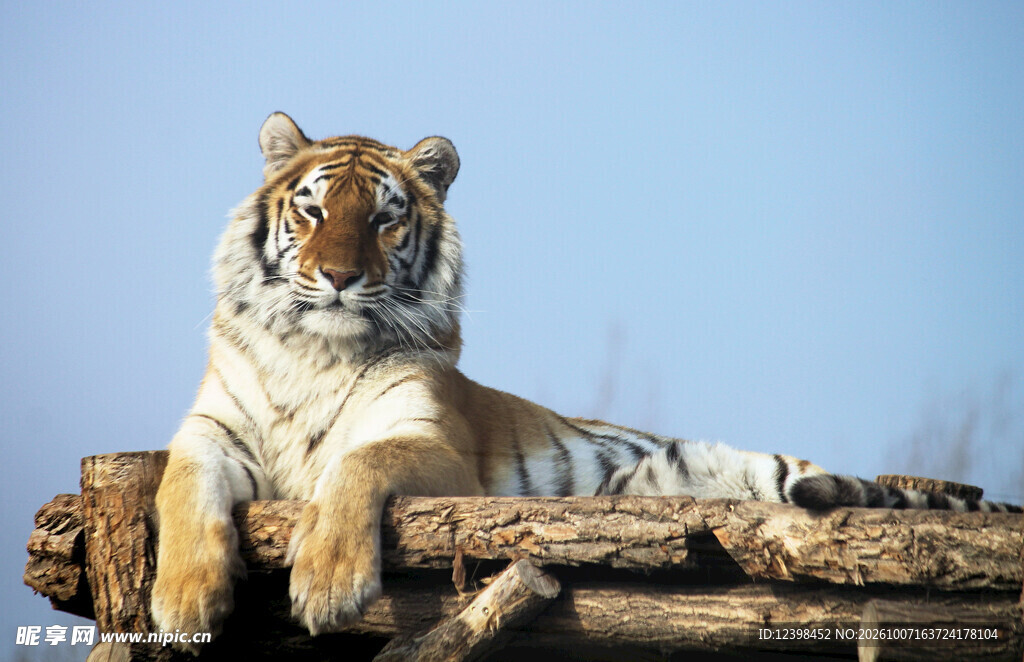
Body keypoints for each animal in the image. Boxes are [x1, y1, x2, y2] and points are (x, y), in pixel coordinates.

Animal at [151, 112, 1021, 653]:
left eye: (384, 219)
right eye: (313, 210)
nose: (337, 277)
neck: (316, 351)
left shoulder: (432, 446)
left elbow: (354, 465)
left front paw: (328, 584)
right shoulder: (210, 433)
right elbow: (178, 485)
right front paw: (183, 600)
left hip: (772, 470)